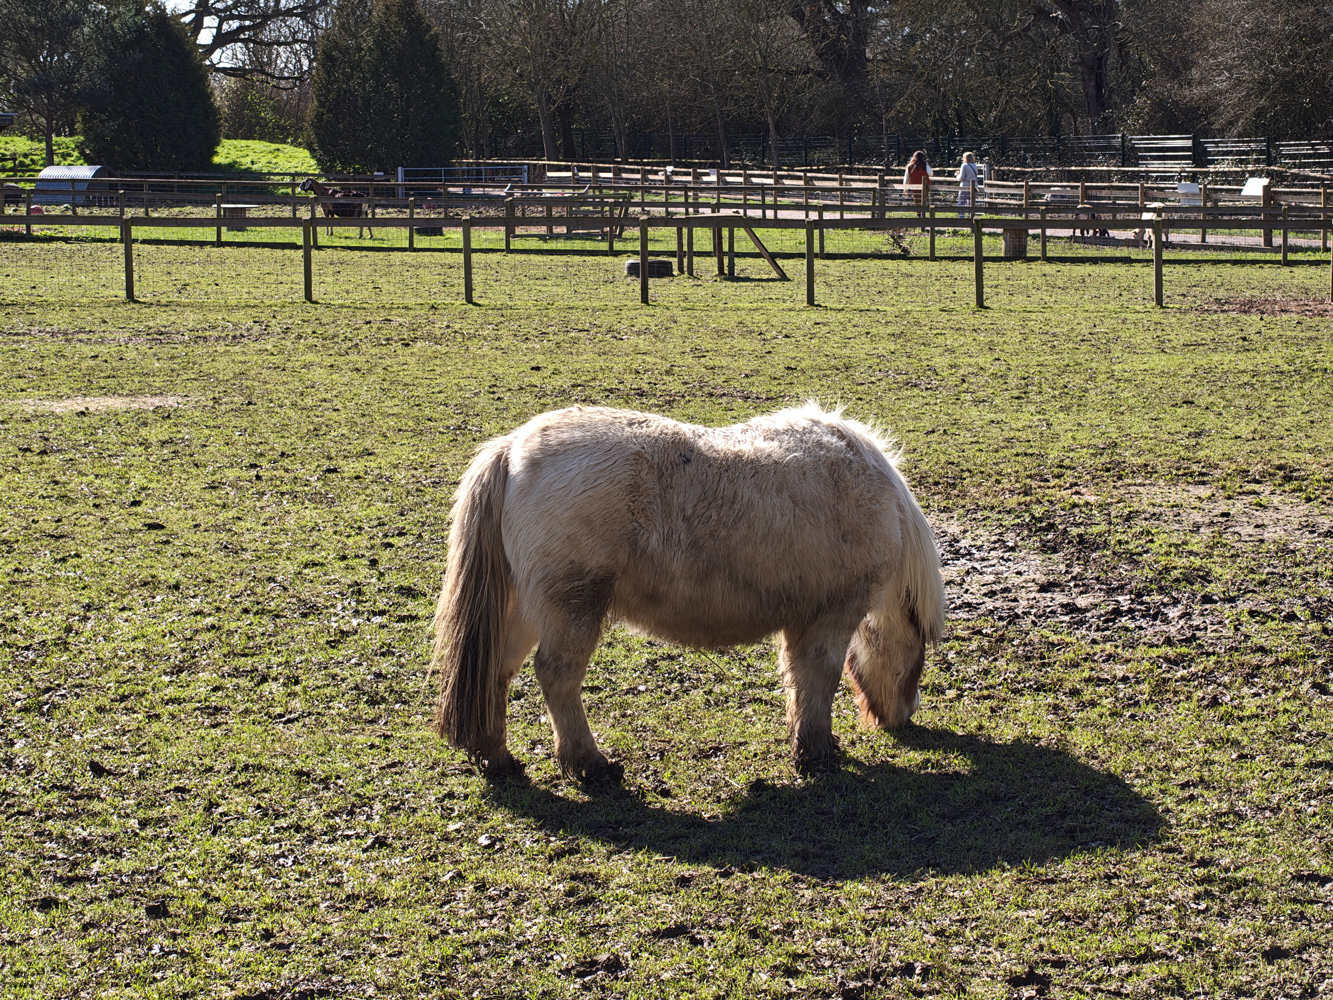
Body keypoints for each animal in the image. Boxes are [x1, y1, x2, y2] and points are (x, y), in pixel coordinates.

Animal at [431, 403, 947, 784]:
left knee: (497, 669)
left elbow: (799, 681)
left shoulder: (804, 621)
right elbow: (818, 680)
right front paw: (818, 752)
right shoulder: (828, 619)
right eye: (918, 651)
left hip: (523, 610)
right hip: (572, 608)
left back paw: (496, 756)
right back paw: (589, 763)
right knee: (557, 676)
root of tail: (512, 448)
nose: (904, 715)